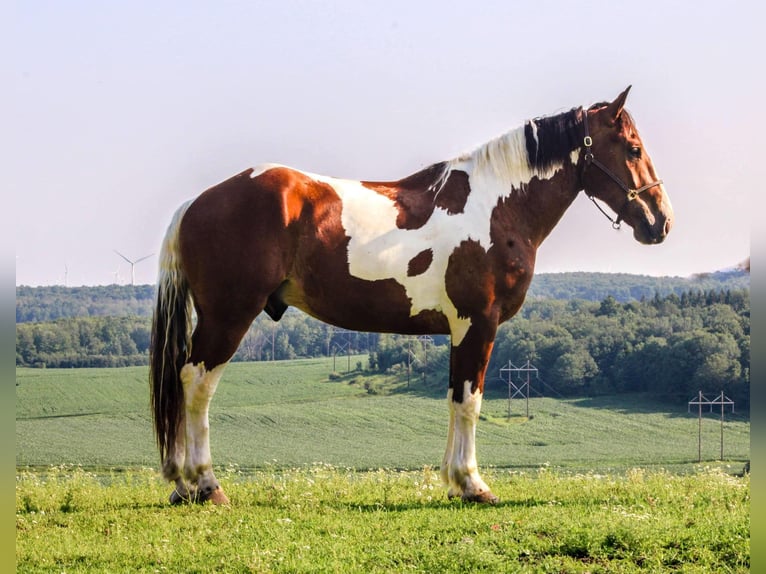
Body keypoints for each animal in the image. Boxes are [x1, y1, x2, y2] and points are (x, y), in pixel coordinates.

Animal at [148, 85, 672, 504]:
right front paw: (474, 485)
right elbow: (470, 401)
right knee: (196, 383)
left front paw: (456, 483)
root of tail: (196, 202)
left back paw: (181, 485)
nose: (661, 221)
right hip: (229, 316)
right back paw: (205, 485)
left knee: (184, 380)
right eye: (632, 147)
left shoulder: (460, 329)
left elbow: (455, 398)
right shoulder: (477, 323)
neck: (496, 206)